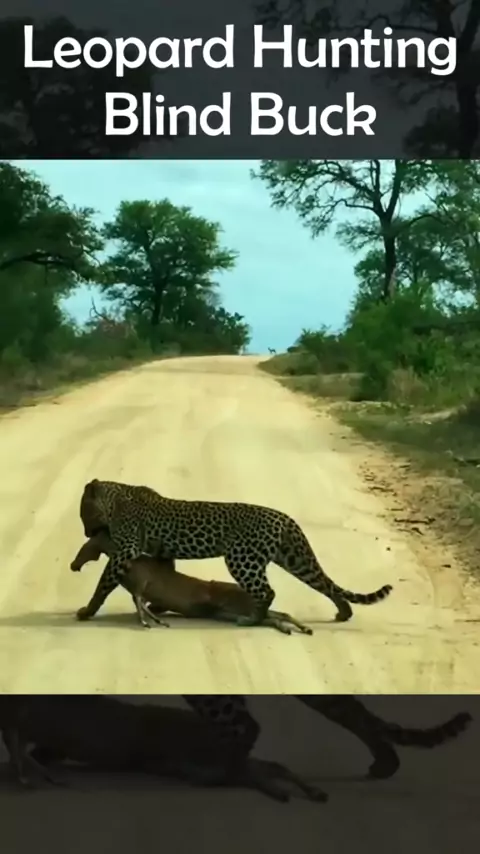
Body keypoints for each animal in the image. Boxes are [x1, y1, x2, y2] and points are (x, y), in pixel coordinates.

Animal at [74, 478, 390, 632]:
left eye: (83, 513)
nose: (87, 533)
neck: (116, 499)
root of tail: (283, 516)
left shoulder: (124, 551)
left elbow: (102, 584)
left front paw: (86, 611)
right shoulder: (160, 552)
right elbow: (164, 575)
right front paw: (159, 606)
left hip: (242, 558)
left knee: (267, 592)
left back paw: (250, 619)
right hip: (293, 558)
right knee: (324, 583)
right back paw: (343, 612)